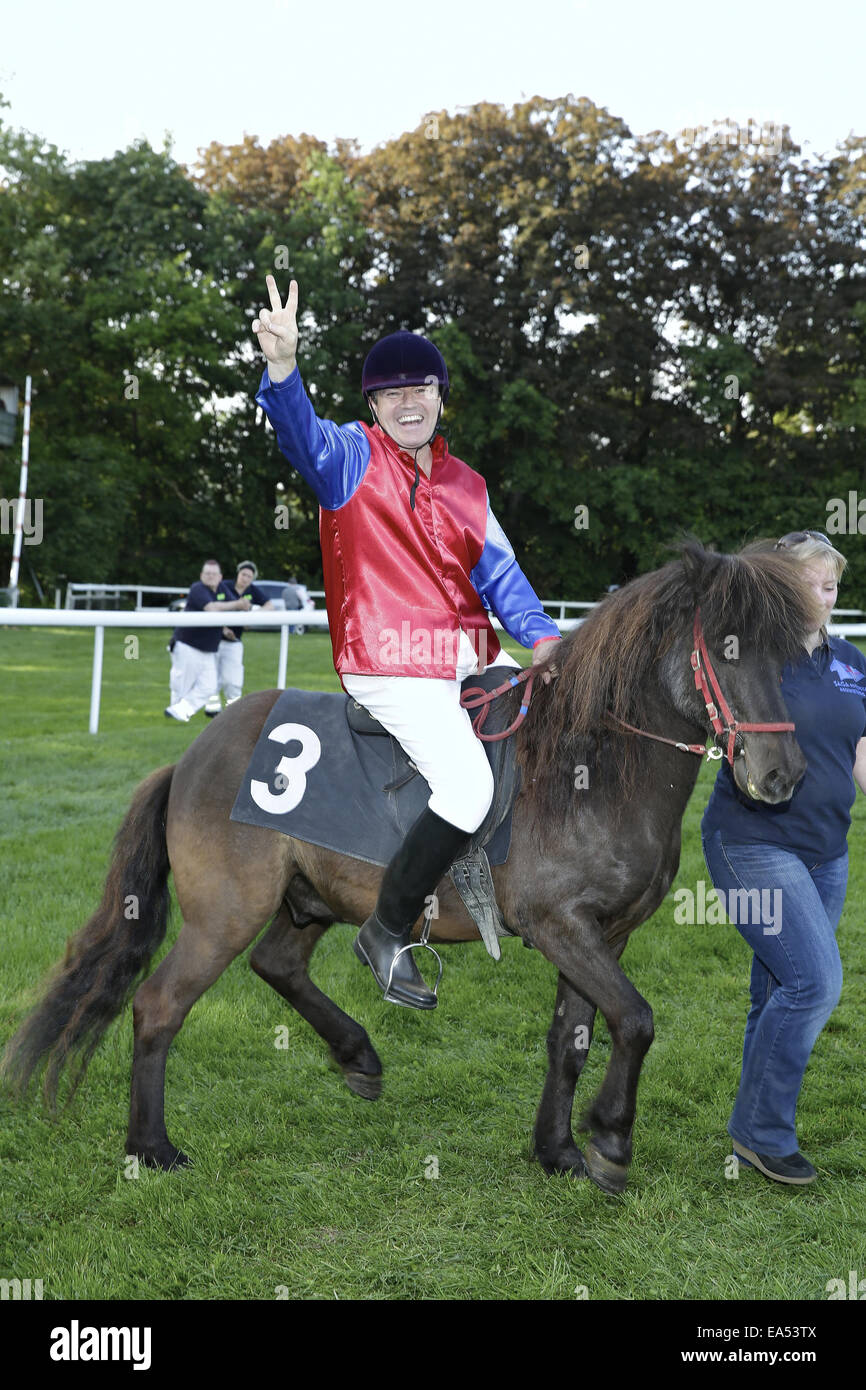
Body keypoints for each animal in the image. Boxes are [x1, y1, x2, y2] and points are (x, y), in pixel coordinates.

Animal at [1, 542, 817, 1195]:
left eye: (792, 658)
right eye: (729, 648)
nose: (783, 776)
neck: (588, 767)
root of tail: (193, 754)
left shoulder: (601, 938)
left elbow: (576, 1039)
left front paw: (558, 1151)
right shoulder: (563, 930)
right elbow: (638, 1021)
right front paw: (611, 1141)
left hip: (312, 899)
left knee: (277, 965)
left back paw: (357, 1051)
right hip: (224, 915)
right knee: (159, 1004)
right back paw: (151, 1147)